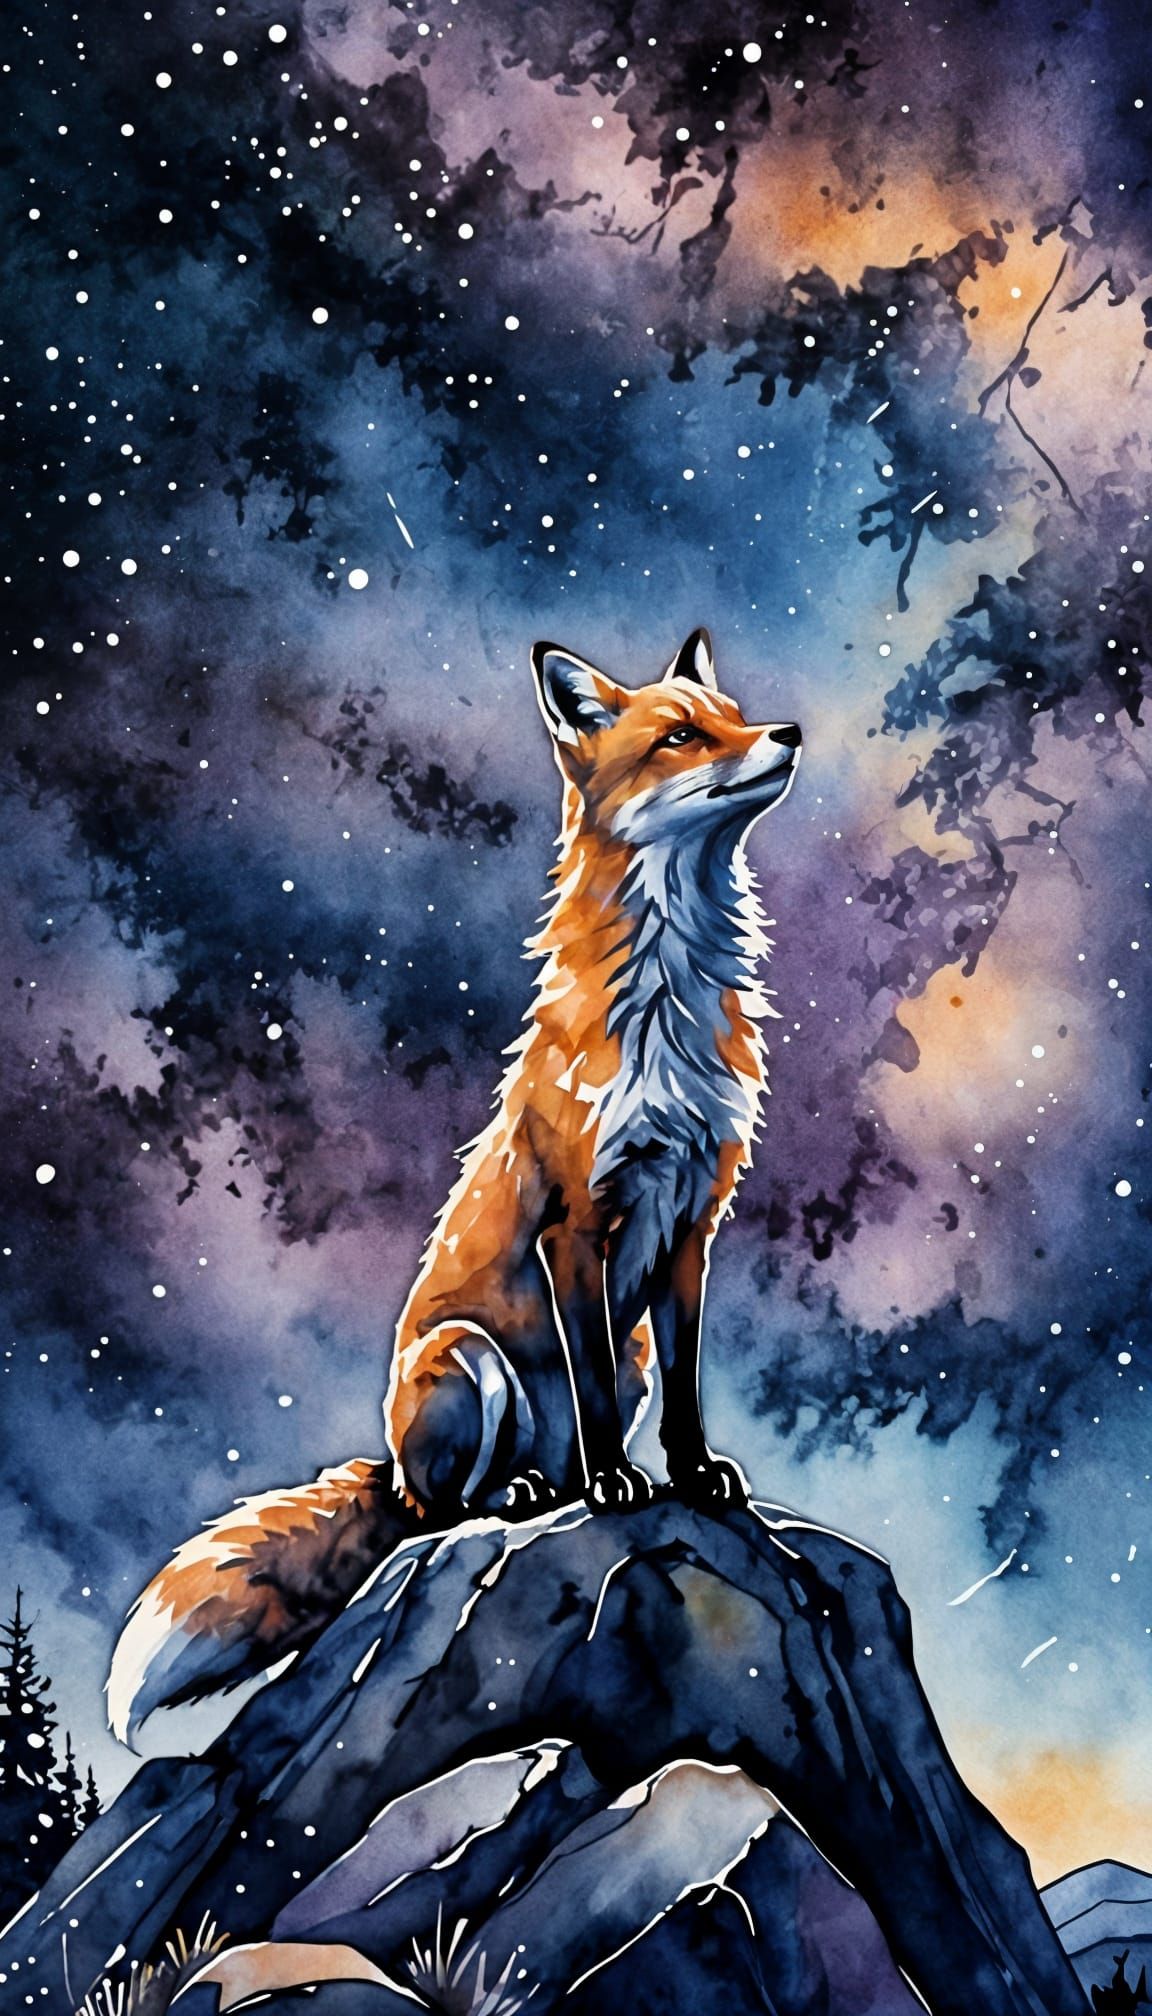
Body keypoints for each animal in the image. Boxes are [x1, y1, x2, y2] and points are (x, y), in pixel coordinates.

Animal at [108, 629, 801, 1745]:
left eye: (735, 716)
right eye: (682, 737)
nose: (788, 733)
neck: (668, 1007)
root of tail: (386, 1463)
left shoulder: (695, 1218)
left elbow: (689, 1390)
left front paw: (693, 1478)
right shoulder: (575, 1225)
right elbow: (592, 1389)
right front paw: (619, 1486)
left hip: (619, 1351)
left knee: (541, 1464)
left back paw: (552, 1489)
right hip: (467, 1360)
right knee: (442, 1512)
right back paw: (520, 1496)